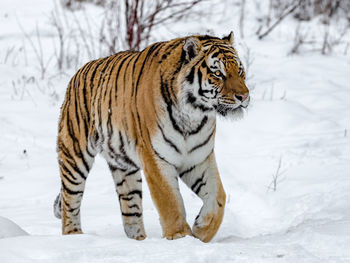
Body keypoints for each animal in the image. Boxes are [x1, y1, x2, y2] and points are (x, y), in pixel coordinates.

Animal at [53, 32, 249, 243]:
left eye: (239, 70)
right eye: (218, 73)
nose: (244, 96)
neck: (193, 115)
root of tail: (78, 72)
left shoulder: (198, 158)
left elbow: (218, 196)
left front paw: (201, 229)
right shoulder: (155, 158)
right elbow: (170, 201)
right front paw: (180, 236)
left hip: (124, 168)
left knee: (130, 210)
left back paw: (139, 241)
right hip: (75, 155)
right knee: (70, 201)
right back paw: (75, 237)